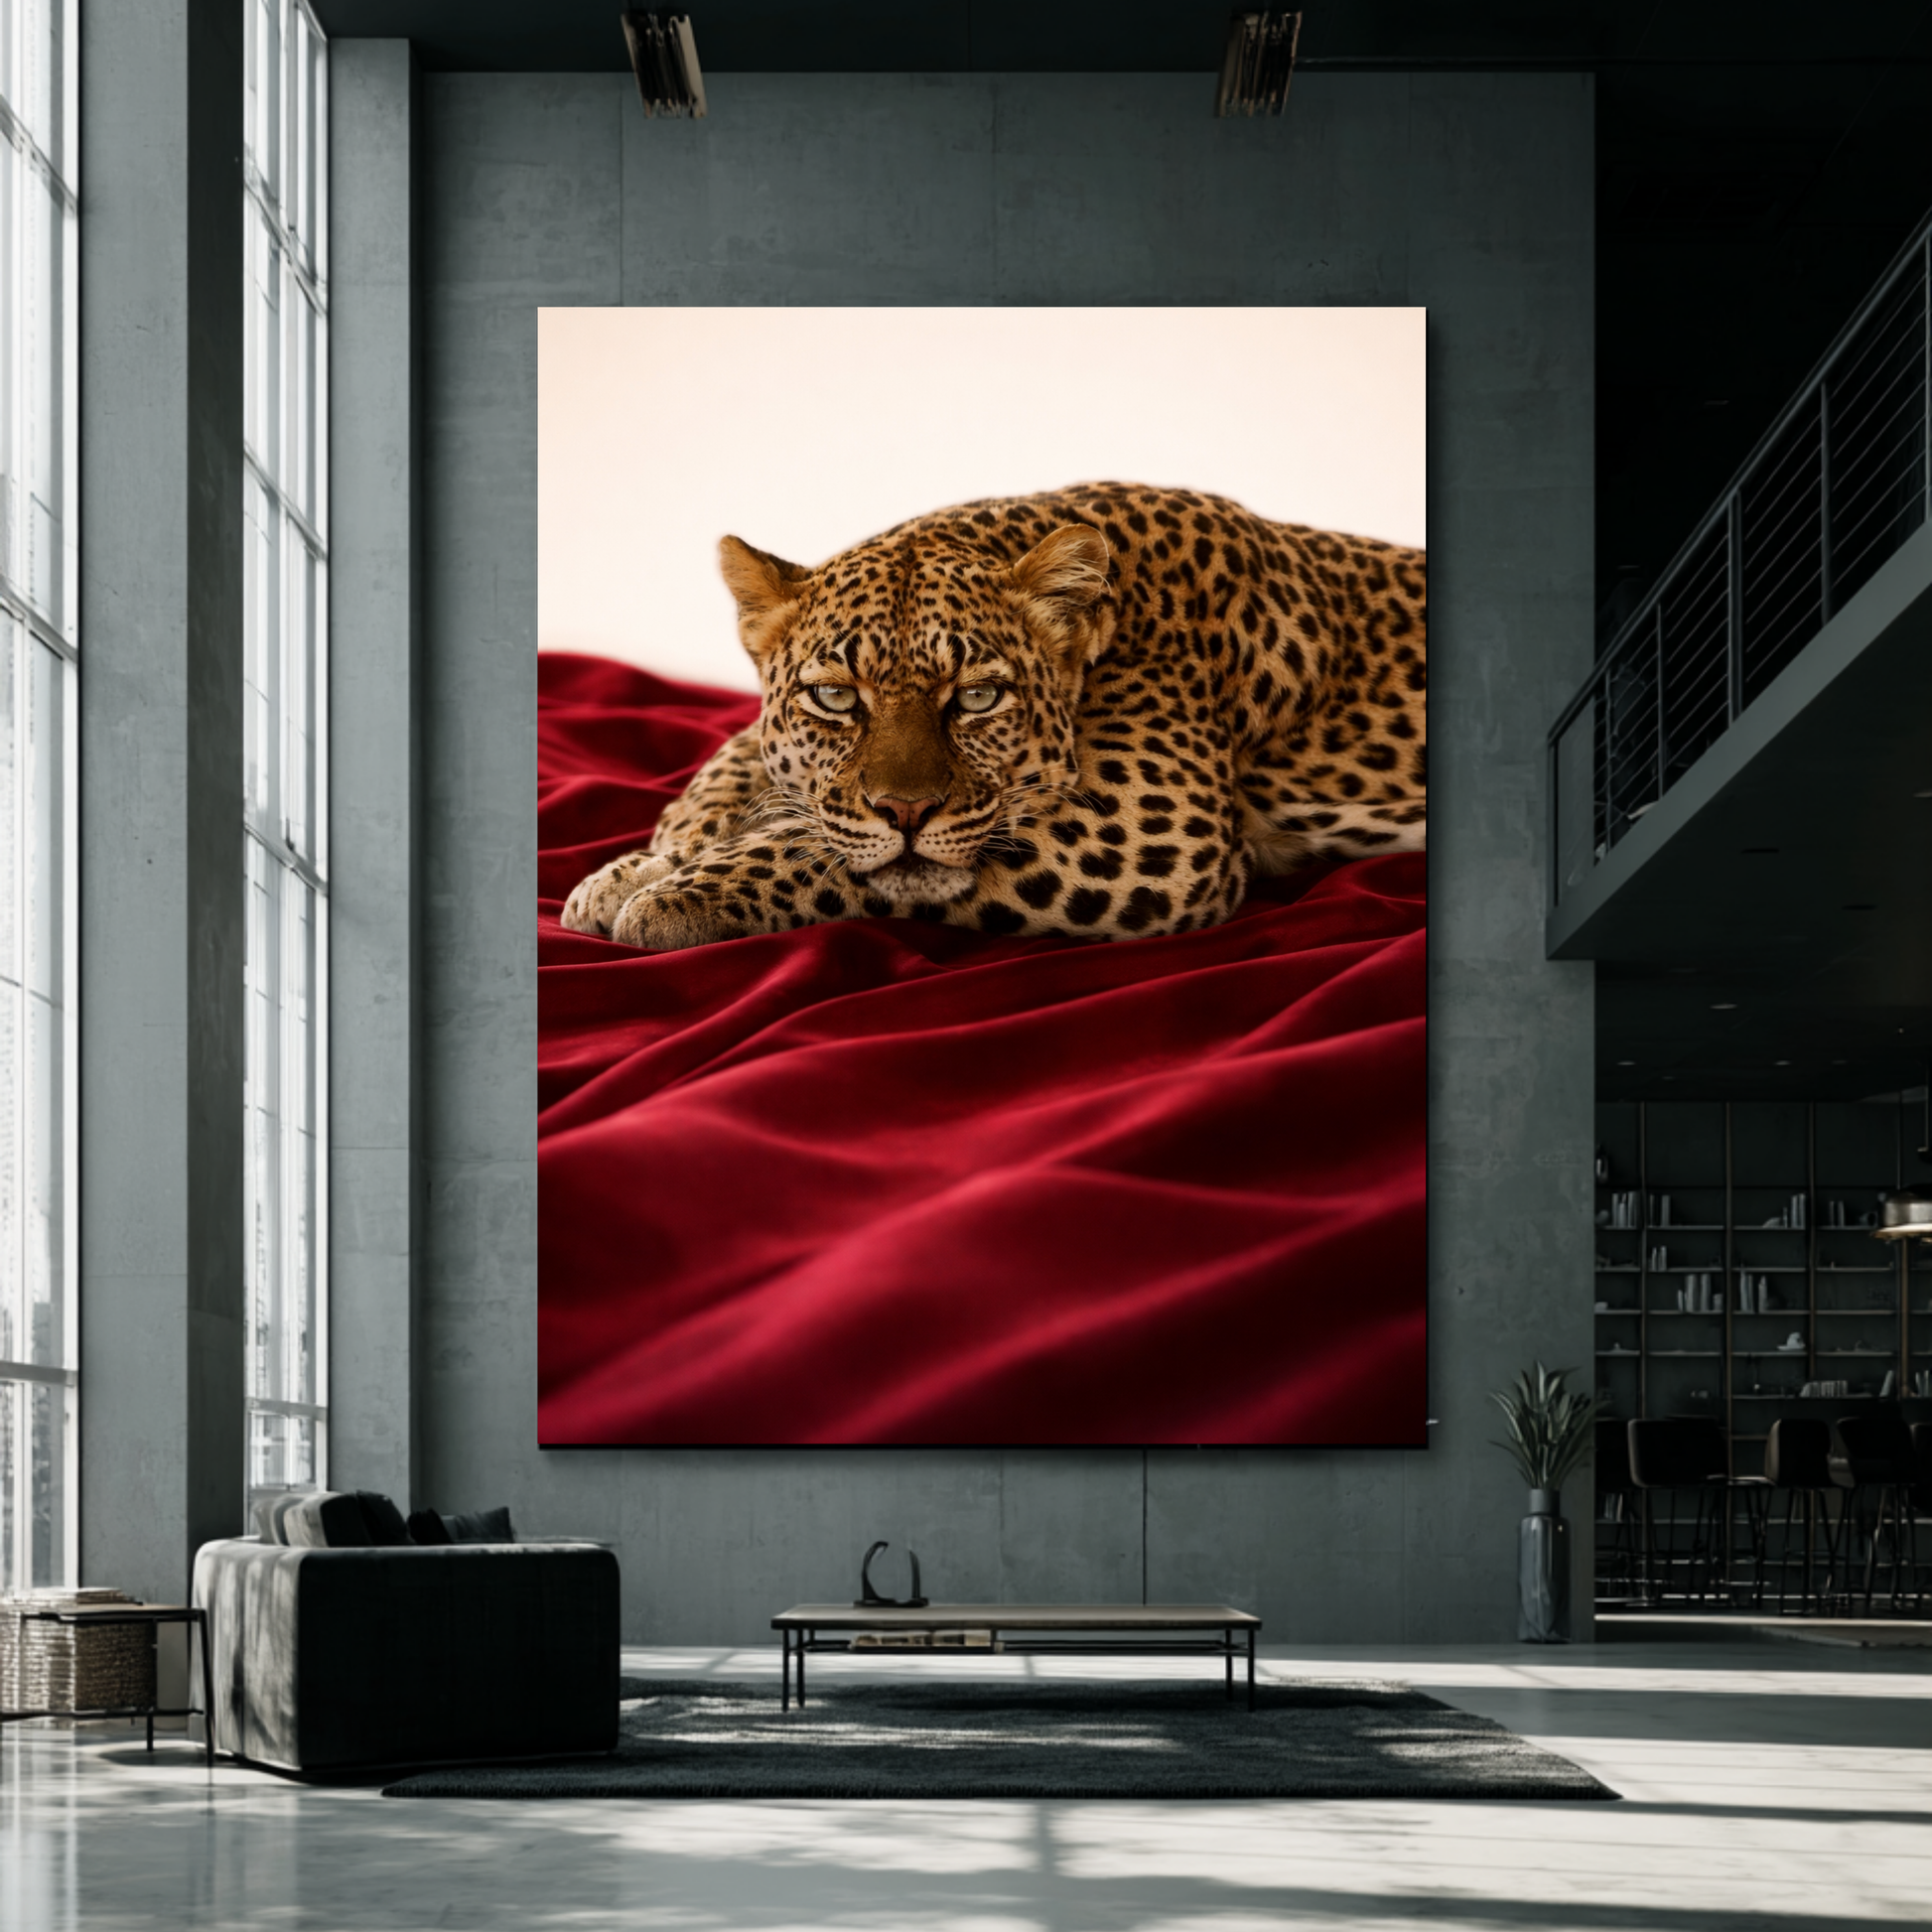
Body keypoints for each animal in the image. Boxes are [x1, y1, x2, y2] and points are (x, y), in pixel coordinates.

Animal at [561, 483, 1425, 951]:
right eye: (836, 697)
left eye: (977, 697)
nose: (905, 811)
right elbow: (734, 769)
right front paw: (643, 866)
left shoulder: (1149, 830)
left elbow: (827, 850)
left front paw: (672, 895)